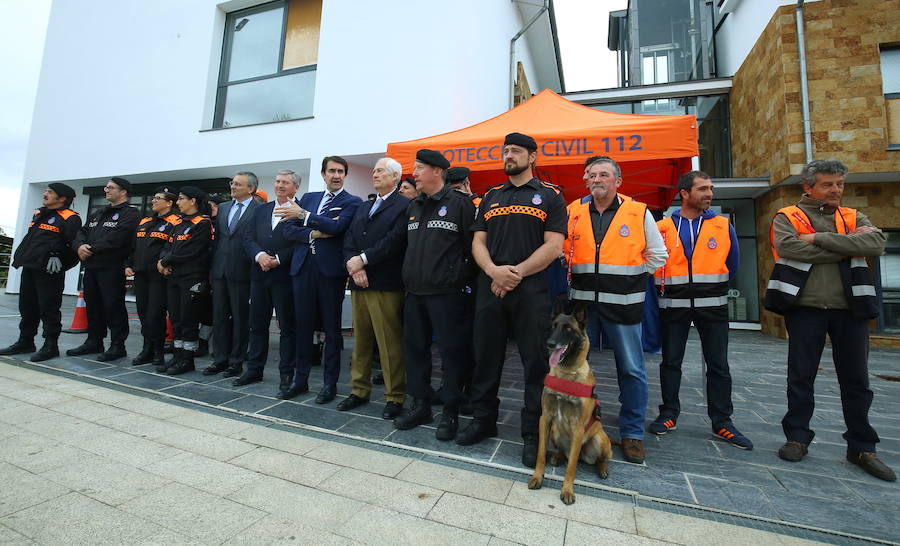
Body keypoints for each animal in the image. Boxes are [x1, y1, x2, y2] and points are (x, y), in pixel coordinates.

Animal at [528, 300, 612, 504]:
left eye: (568, 329)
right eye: (553, 326)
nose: (550, 344)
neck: (566, 373)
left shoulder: (579, 427)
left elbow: (571, 466)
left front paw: (567, 490)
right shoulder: (545, 419)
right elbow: (541, 453)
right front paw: (537, 477)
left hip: (600, 440)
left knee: (597, 459)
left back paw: (603, 469)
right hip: (555, 432)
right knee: (564, 453)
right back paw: (557, 457)